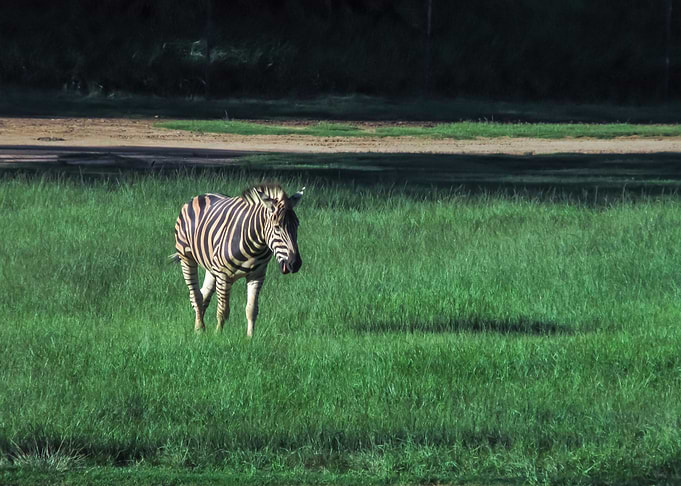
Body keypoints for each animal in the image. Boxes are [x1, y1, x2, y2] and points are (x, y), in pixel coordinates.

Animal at [171, 183, 304, 337]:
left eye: (297, 225)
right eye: (277, 227)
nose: (295, 264)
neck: (255, 245)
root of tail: (201, 195)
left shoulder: (257, 276)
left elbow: (251, 309)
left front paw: (250, 338)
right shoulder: (223, 276)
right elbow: (223, 310)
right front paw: (218, 335)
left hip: (211, 267)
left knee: (204, 294)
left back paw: (200, 327)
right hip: (187, 258)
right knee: (196, 295)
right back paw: (199, 329)